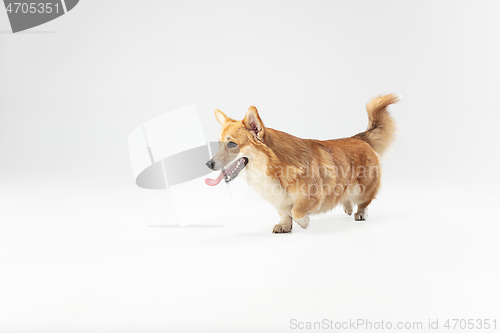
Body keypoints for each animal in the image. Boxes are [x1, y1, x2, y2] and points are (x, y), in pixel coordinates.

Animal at [203, 94, 398, 232]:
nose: (208, 164)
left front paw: (304, 223)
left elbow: (296, 211)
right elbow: (285, 213)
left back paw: (359, 213)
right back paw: (347, 207)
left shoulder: (312, 195)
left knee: (364, 202)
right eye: (219, 143)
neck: (272, 167)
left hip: (364, 188)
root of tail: (359, 137)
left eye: (232, 144)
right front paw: (284, 225)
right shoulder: (280, 201)